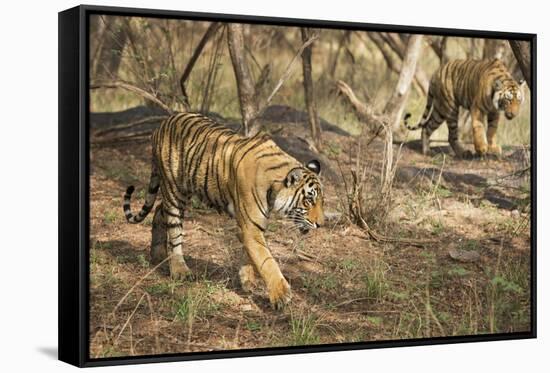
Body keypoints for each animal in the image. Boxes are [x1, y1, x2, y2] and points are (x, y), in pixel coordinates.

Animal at [123, 113, 326, 308]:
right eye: (309, 200)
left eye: (321, 201)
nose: (320, 224)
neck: (274, 186)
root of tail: (162, 124)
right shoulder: (251, 226)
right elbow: (266, 260)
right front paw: (281, 295)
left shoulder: (250, 225)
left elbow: (251, 255)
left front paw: (247, 280)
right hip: (174, 191)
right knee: (174, 232)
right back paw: (180, 270)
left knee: (159, 210)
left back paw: (158, 256)